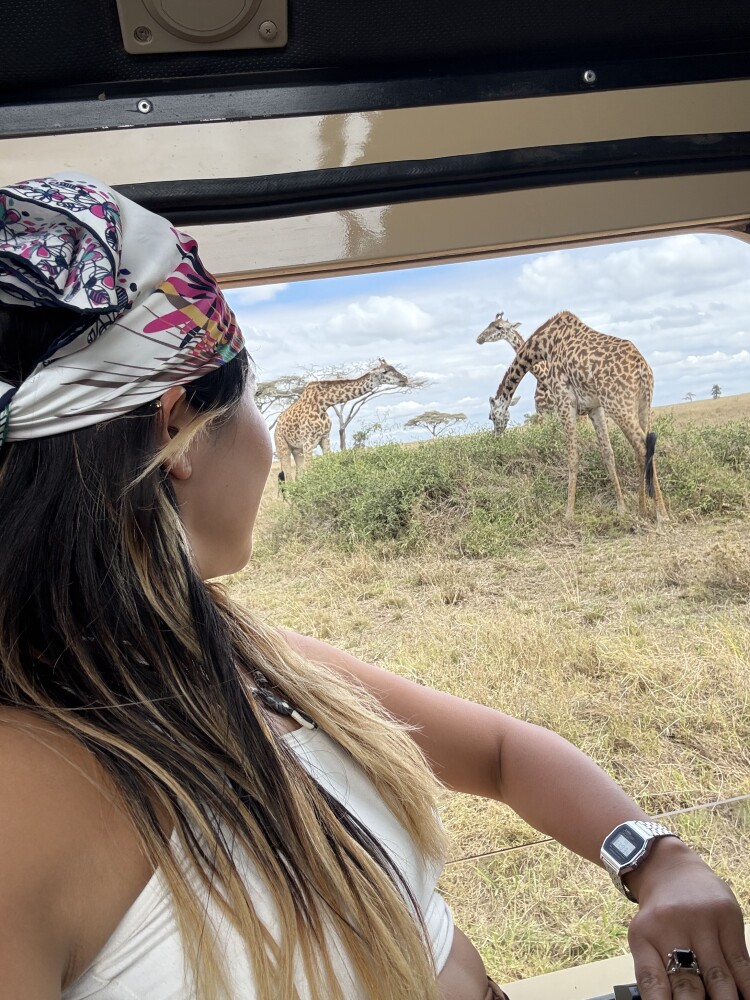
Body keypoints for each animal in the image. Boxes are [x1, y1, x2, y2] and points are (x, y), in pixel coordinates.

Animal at [274, 360, 408, 479]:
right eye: (385, 371)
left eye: (394, 367)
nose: (405, 379)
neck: (323, 403)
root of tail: (276, 428)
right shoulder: (308, 441)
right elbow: (310, 471)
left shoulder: (324, 437)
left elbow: (328, 464)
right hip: (283, 447)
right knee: (289, 478)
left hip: (297, 450)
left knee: (298, 476)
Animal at [488, 311, 668, 522]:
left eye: (492, 417)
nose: (480, 338)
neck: (542, 347)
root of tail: (642, 368)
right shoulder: (594, 408)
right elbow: (608, 453)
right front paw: (621, 508)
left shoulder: (565, 403)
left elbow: (572, 456)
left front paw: (568, 513)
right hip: (643, 404)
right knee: (644, 446)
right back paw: (642, 510)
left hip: (618, 405)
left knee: (642, 446)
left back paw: (661, 515)